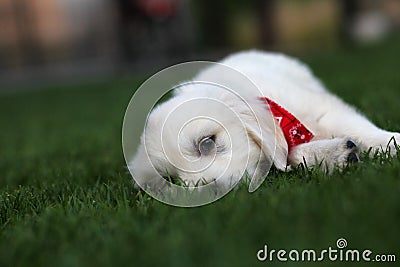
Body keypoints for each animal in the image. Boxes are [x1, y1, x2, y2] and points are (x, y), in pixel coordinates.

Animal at [130, 51, 396, 189]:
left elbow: (359, 128)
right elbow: (290, 154)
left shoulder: (321, 108)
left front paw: (391, 144)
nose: (209, 193)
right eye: (170, 180)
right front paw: (335, 155)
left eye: (207, 143)